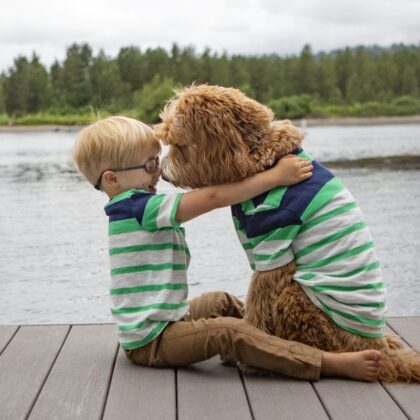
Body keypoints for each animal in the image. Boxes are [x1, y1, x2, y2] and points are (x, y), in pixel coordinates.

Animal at [154, 83, 420, 382]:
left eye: (179, 144)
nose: (163, 173)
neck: (265, 157)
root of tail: (373, 344)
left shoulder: (275, 243)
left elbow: (259, 300)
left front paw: (249, 353)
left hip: (298, 300)